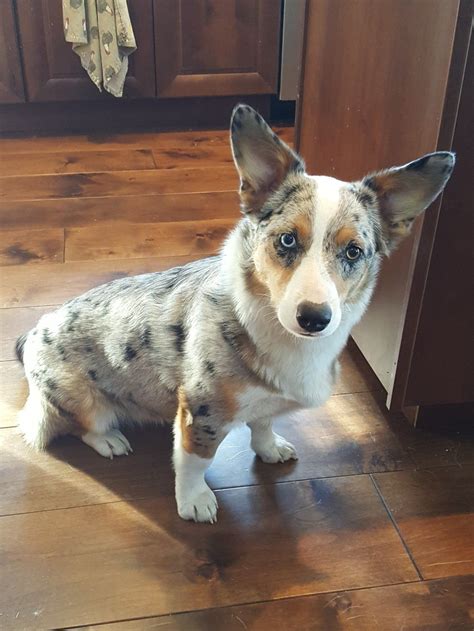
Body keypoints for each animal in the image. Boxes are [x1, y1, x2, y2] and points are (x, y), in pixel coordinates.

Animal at [14, 106, 454, 524]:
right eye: (287, 239)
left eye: (354, 251)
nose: (315, 318)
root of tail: (32, 333)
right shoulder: (201, 411)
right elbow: (195, 462)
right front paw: (195, 502)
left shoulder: (266, 404)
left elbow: (263, 425)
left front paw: (270, 449)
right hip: (79, 398)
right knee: (79, 424)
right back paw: (110, 441)